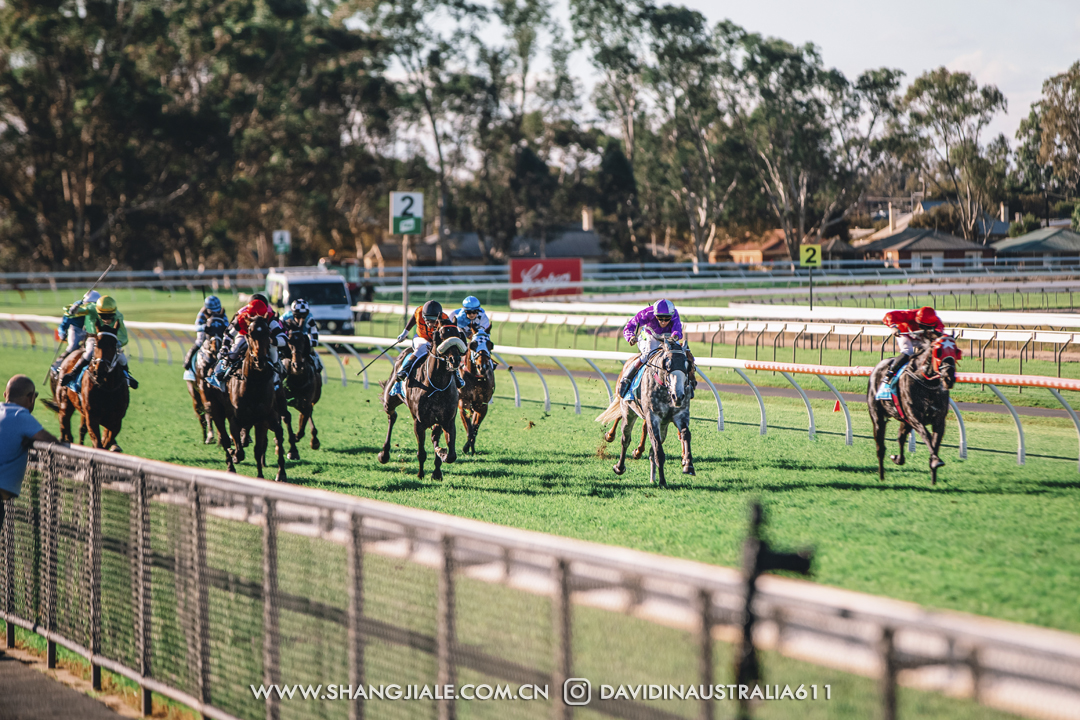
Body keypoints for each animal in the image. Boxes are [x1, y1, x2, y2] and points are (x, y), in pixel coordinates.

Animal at [221, 317, 287, 481]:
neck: (254, 383)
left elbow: (257, 449)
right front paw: (233, 452)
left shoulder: (261, 419)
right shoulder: (234, 419)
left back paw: (281, 473)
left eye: (267, 333)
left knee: (279, 433)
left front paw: (261, 476)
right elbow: (238, 450)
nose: (260, 360)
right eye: (250, 333)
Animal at [280, 332, 321, 462]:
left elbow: (303, 423)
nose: (297, 365)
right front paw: (292, 451)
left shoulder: (306, 402)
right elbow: (286, 418)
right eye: (289, 343)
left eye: (303, 342)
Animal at [378, 325, 466, 481]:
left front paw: (440, 459)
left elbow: (451, 455)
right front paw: (420, 474)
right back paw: (384, 454)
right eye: (441, 335)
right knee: (391, 416)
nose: (454, 360)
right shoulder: (418, 422)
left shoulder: (447, 420)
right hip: (390, 399)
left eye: (458, 335)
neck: (437, 385)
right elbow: (421, 452)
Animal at [596, 334, 695, 490]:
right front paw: (662, 481)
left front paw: (688, 465)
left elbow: (685, 434)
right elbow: (658, 449)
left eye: (688, 365)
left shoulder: (680, 415)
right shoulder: (652, 418)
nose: (678, 396)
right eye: (667, 364)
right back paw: (619, 466)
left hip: (663, 425)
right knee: (625, 438)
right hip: (628, 411)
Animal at [868, 334, 963, 483]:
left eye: (956, 352)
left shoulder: (939, 420)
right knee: (880, 447)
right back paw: (882, 475)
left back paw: (898, 459)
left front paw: (934, 472)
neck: (926, 383)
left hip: (904, 420)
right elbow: (927, 436)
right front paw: (935, 461)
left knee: (900, 437)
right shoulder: (915, 417)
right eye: (938, 351)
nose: (949, 378)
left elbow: (935, 442)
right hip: (877, 416)